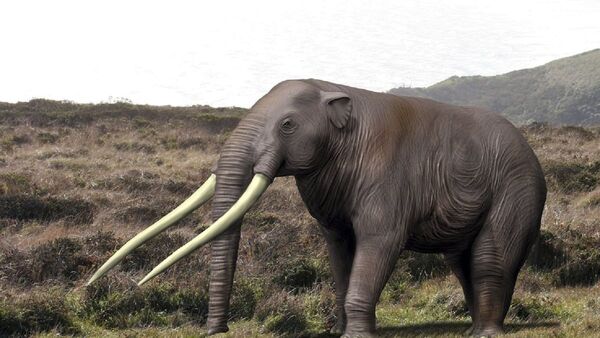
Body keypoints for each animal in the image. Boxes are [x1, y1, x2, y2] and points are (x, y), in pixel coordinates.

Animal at [88, 80, 548, 338]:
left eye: (288, 125)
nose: (218, 332)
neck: (337, 92)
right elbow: (339, 248)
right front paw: (340, 331)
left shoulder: (388, 181)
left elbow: (379, 242)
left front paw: (356, 336)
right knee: (463, 263)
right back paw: (475, 328)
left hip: (516, 191)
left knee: (489, 259)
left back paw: (486, 334)